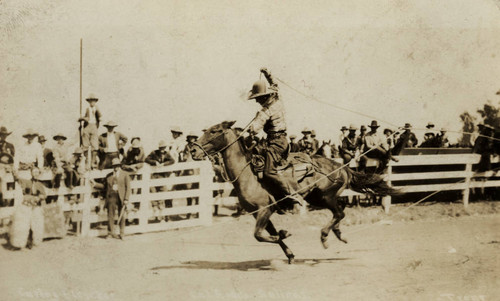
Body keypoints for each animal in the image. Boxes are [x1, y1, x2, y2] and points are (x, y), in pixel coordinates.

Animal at [191, 120, 398, 262]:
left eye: (214, 131)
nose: (193, 151)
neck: (248, 174)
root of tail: (342, 167)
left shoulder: (265, 210)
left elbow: (258, 235)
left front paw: (284, 234)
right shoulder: (258, 213)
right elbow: (267, 234)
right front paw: (289, 252)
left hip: (326, 196)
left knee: (339, 213)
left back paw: (325, 236)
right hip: (318, 198)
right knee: (340, 211)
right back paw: (339, 234)